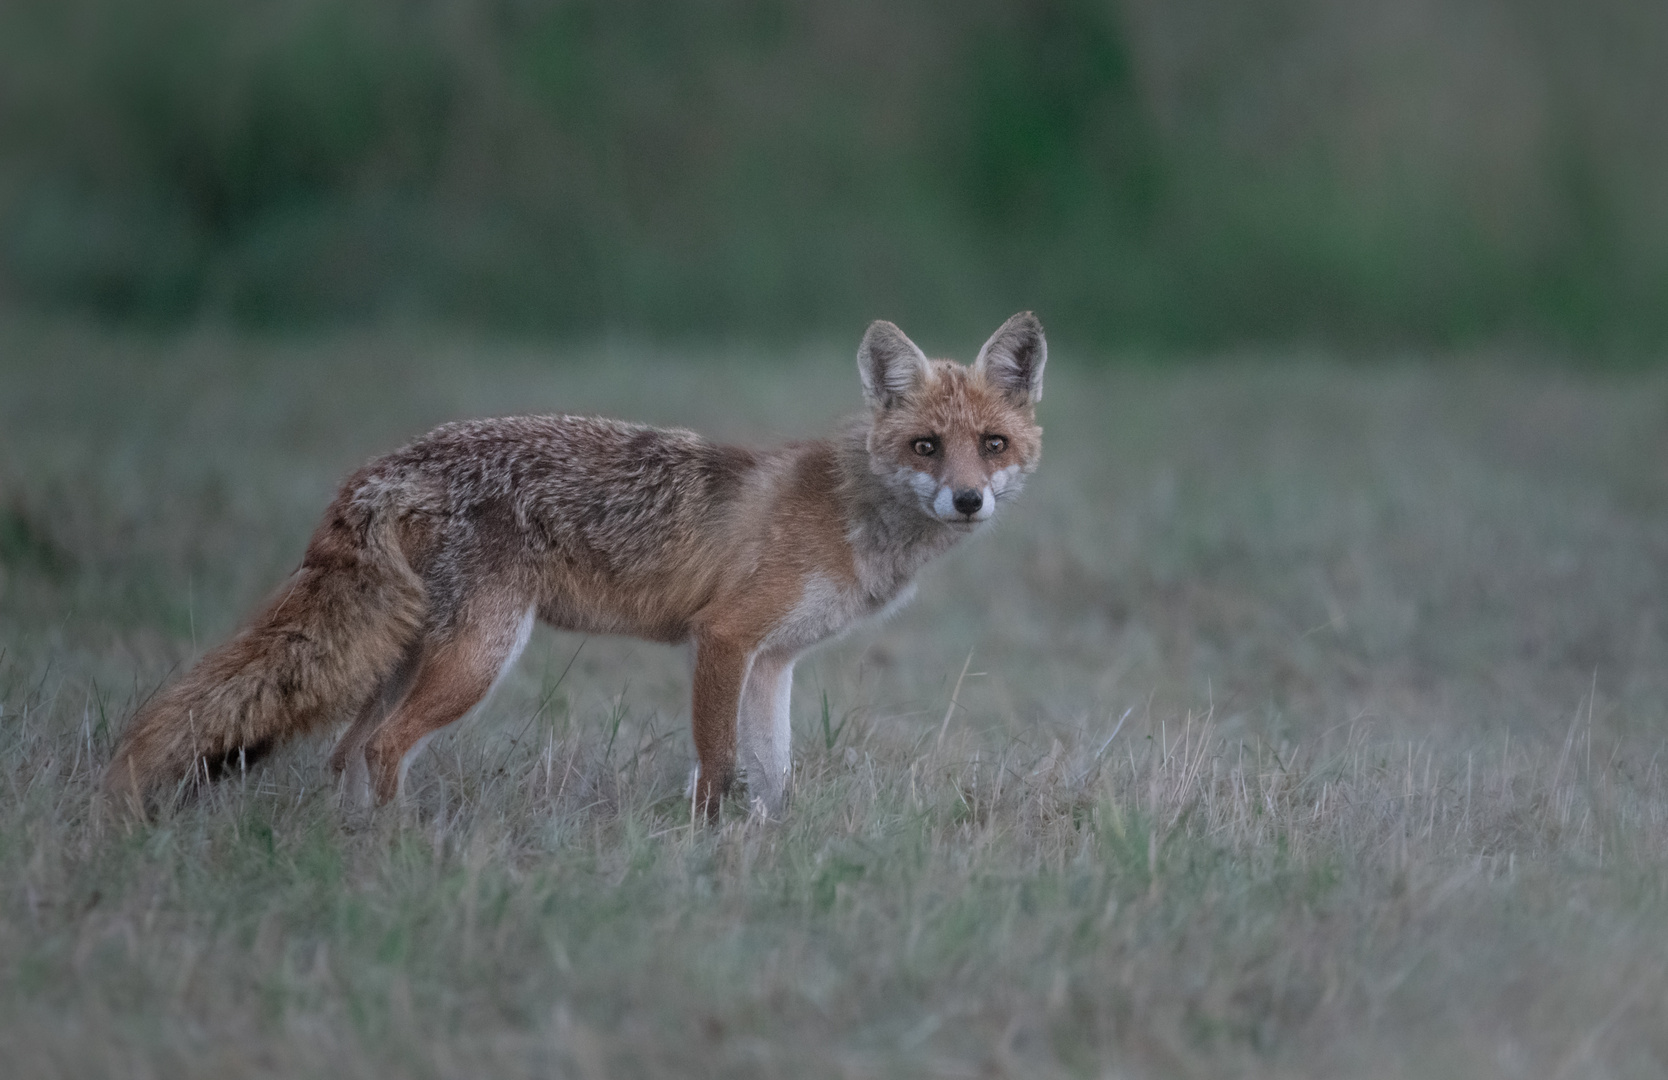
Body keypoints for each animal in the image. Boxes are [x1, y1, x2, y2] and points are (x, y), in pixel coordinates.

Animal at [100, 312, 1040, 821]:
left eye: (993, 446)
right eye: (927, 446)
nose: (967, 500)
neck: (851, 515)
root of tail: (384, 467)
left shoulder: (774, 660)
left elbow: (774, 775)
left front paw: (773, 850)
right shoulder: (724, 640)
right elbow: (718, 767)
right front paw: (707, 853)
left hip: (410, 657)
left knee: (345, 756)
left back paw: (355, 847)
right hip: (479, 655)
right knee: (383, 750)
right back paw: (401, 851)